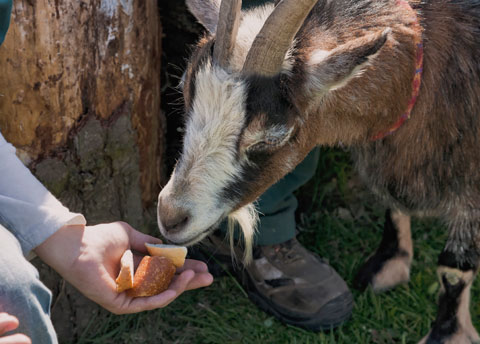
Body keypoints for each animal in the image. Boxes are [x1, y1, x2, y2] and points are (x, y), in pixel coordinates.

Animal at [157, 1, 480, 342]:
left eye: (271, 138)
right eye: (182, 90)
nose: (171, 216)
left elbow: (454, 268)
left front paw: (447, 333)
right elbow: (391, 204)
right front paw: (390, 261)